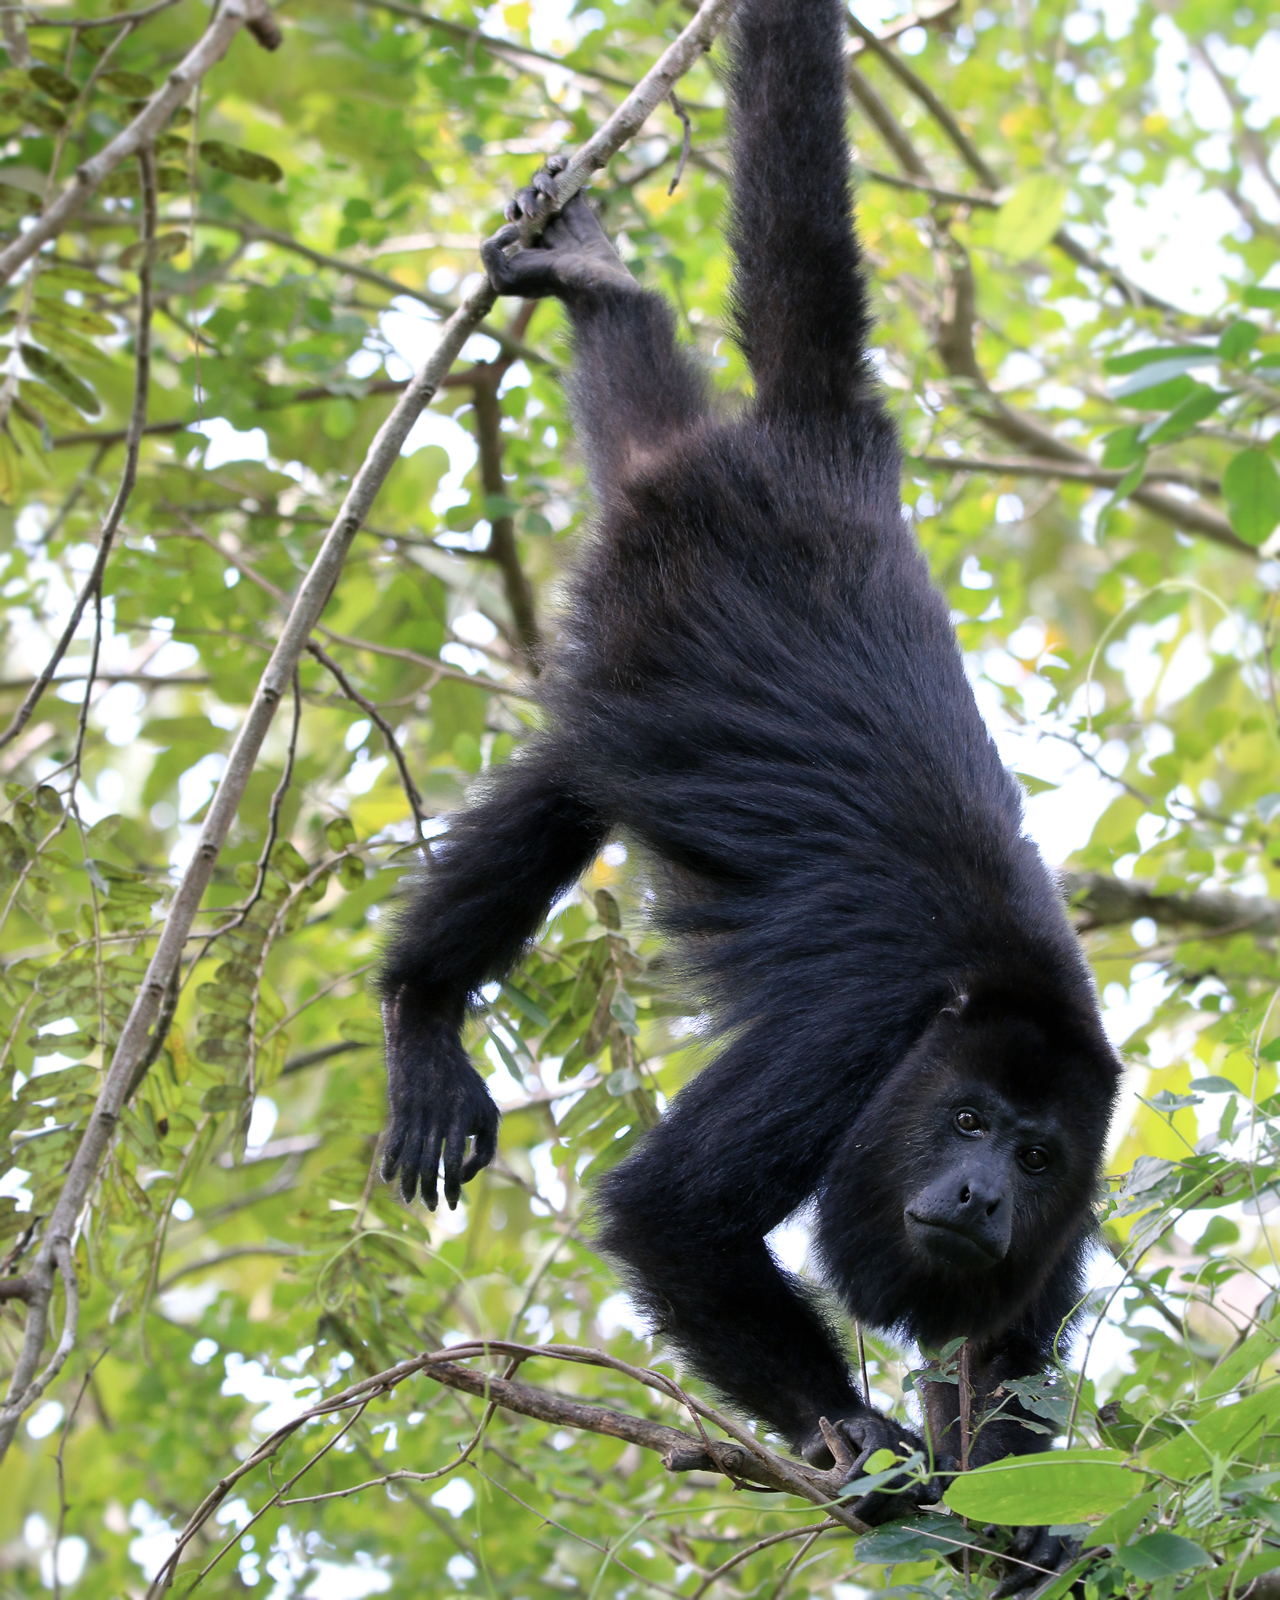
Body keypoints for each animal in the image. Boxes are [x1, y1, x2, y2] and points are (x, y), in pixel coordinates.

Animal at [378, 0, 1120, 1581]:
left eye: (1034, 1154)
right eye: (966, 1123)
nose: (980, 1197)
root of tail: (827, 465)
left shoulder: (1069, 1216)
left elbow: (998, 1362)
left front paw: (1016, 1527)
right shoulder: (849, 1041)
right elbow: (670, 1215)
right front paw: (854, 1439)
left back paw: (598, 286)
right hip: (658, 575)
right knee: (566, 782)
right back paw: (420, 1010)